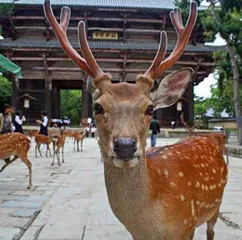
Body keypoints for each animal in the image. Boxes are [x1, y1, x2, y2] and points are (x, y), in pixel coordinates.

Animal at [44, 0, 228, 239]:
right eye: (98, 106)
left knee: (211, 231)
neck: (152, 225)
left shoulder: (187, 225)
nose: (125, 145)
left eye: (150, 108)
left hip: (215, 206)